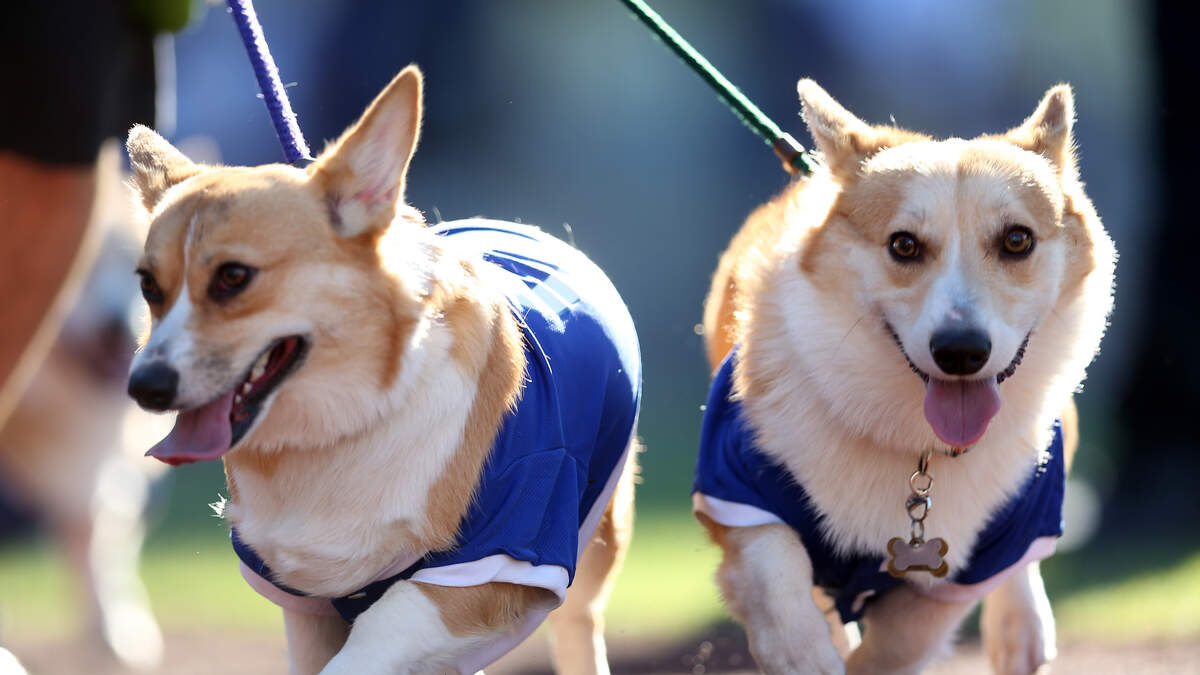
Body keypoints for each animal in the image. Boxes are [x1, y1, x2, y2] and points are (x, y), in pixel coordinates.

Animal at [124, 64, 638, 672]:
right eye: (149, 287)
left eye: (233, 276)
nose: (144, 388)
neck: (349, 425)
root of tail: (523, 227)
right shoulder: (302, 601)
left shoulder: (491, 568)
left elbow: (377, 633)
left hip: (594, 538)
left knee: (580, 623)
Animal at [696, 81, 1113, 667]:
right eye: (904, 245)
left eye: (1017, 240)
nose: (961, 352)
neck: (916, 449)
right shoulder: (734, 490)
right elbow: (777, 576)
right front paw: (808, 656)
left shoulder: (958, 575)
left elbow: (897, 644)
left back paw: (1022, 629)